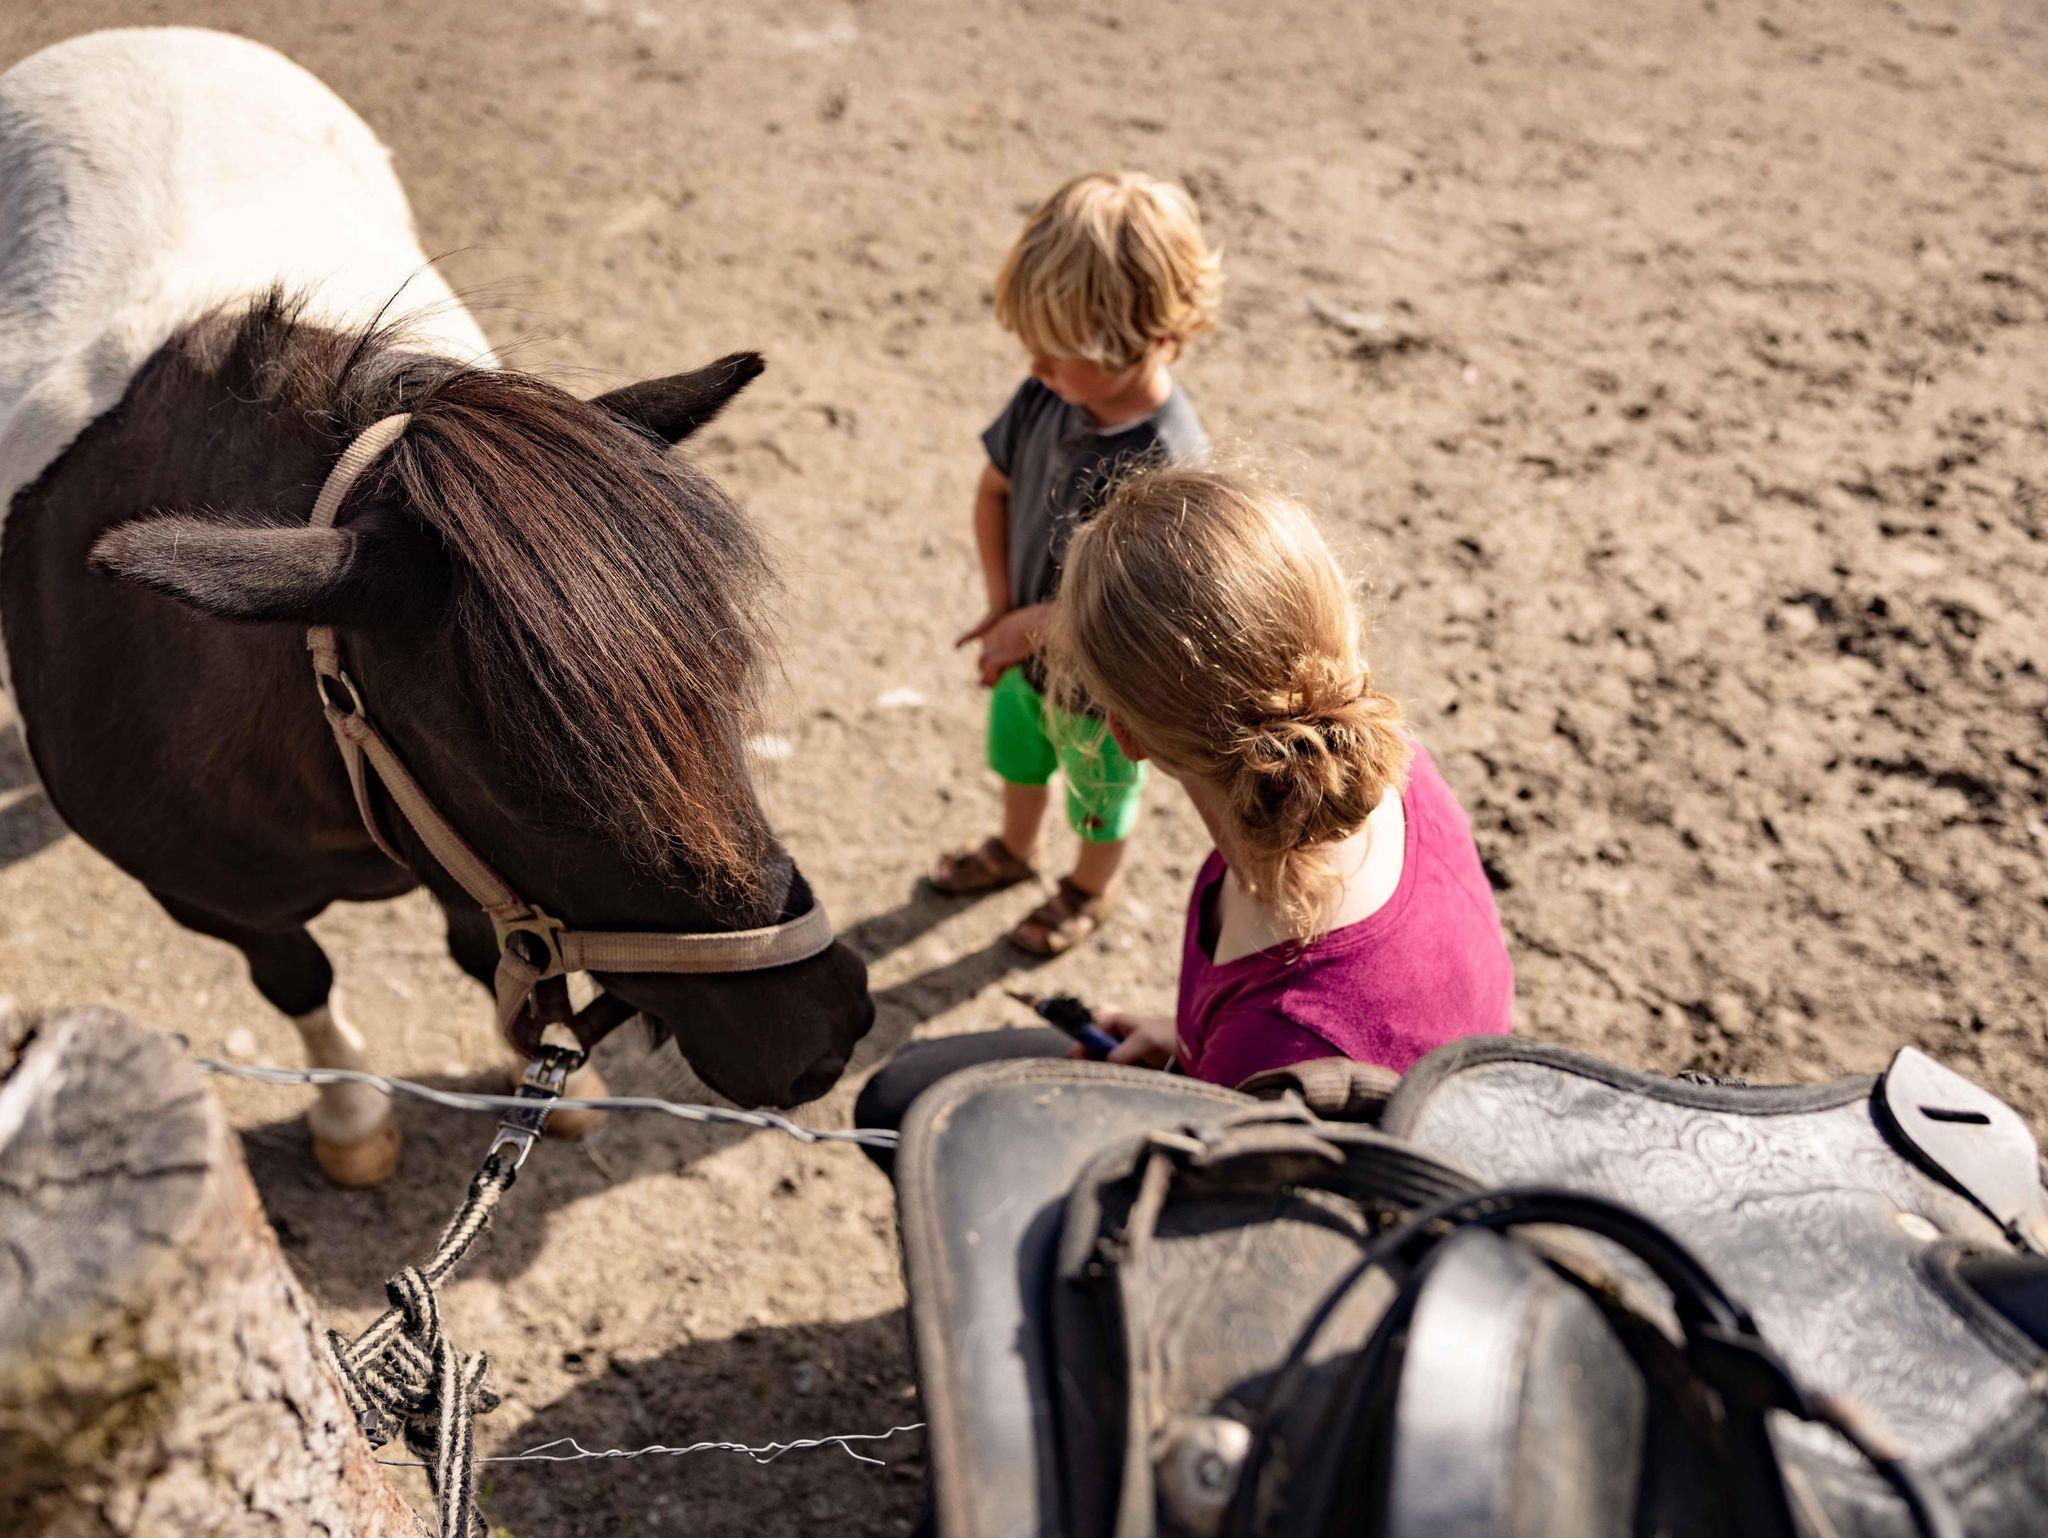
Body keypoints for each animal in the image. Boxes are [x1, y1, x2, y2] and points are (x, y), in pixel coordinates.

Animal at [0, 27, 874, 1185]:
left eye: (724, 696)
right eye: (524, 785)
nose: (827, 1025)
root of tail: (125, 38)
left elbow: (477, 947)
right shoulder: (213, 899)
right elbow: (297, 977)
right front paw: (350, 1114)